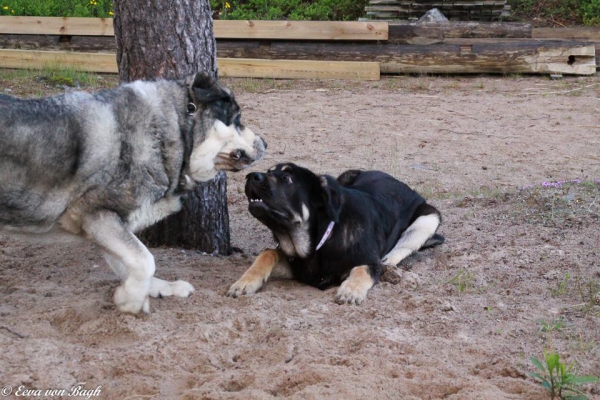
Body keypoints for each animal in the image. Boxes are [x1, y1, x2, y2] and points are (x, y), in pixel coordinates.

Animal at [0, 72, 268, 316]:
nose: (265, 143)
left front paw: (158, 289)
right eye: (238, 119)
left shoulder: (109, 225)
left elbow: (130, 263)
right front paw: (129, 300)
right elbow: (144, 260)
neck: (172, 130)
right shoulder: (95, 214)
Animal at [227, 164, 442, 304]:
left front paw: (351, 290)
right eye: (269, 172)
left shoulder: (368, 261)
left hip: (428, 217)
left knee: (397, 252)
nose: (250, 176)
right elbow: (268, 253)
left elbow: (362, 269)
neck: (319, 243)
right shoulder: (297, 267)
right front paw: (245, 282)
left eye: (287, 179)